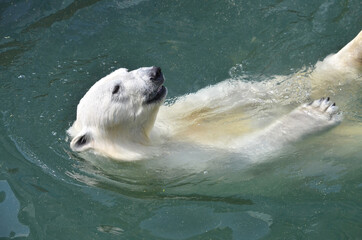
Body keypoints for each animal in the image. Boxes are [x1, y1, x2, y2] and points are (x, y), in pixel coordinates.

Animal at [68, 30, 362, 161]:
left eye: (127, 70)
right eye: (116, 89)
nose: (155, 73)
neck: (149, 137)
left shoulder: (176, 112)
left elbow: (226, 97)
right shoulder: (177, 159)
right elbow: (250, 150)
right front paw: (318, 113)